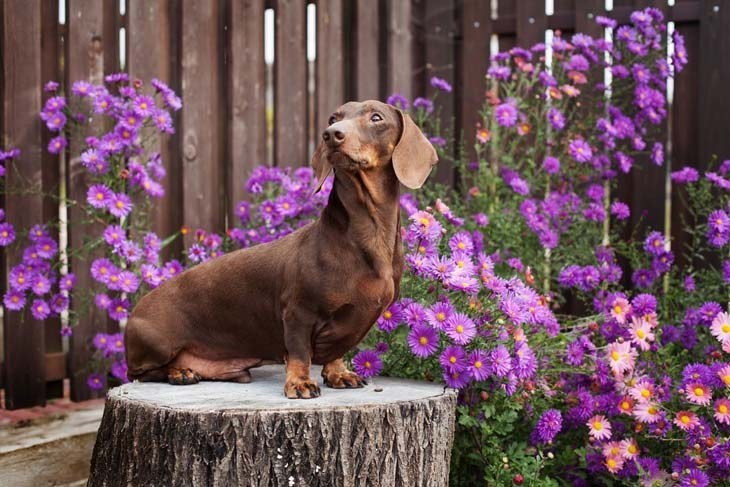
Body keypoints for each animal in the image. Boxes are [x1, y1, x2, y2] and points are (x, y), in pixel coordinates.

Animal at [123, 101, 436, 398]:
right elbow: (299, 353)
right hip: (157, 346)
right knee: (142, 372)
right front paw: (299, 382)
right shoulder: (298, 312)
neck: (366, 235)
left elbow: (335, 352)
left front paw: (338, 373)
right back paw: (179, 372)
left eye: (376, 117)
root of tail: (133, 314)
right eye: (333, 118)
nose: (331, 135)